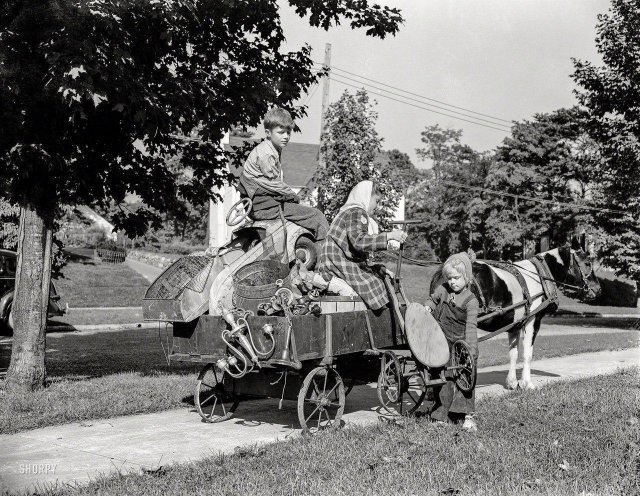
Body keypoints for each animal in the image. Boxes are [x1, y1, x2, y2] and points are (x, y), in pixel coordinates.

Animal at [430, 234, 600, 390]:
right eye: (587, 263)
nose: (598, 289)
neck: (540, 275)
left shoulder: (514, 324)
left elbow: (513, 353)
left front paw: (512, 382)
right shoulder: (533, 320)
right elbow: (527, 354)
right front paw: (527, 383)